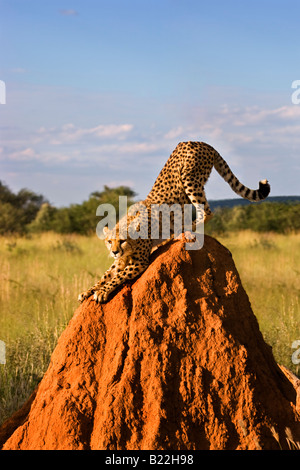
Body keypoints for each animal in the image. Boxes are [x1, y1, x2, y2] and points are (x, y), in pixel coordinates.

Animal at [78, 143, 270, 302]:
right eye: (109, 241)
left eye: (123, 240)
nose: (114, 251)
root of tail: (200, 142)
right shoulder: (120, 261)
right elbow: (105, 275)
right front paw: (89, 291)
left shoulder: (140, 261)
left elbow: (116, 277)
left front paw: (102, 292)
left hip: (189, 178)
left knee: (207, 212)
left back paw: (182, 230)